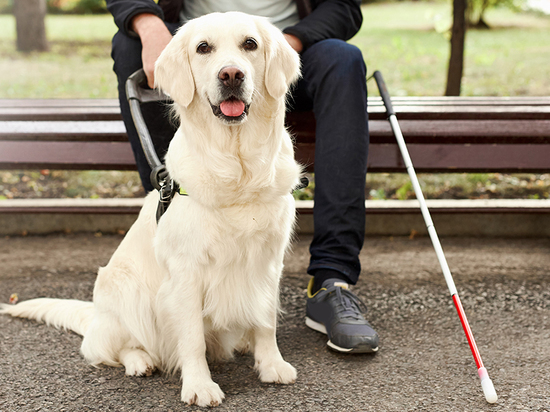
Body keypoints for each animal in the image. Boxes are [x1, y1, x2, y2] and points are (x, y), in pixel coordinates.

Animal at [1, 11, 302, 408]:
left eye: (250, 44)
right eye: (203, 48)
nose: (231, 75)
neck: (236, 168)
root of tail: (95, 316)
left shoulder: (268, 261)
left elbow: (266, 321)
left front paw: (271, 365)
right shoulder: (186, 272)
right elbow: (191, 338)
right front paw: (199, 386)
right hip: (125, 291)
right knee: (110, 348)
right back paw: (140, 361)